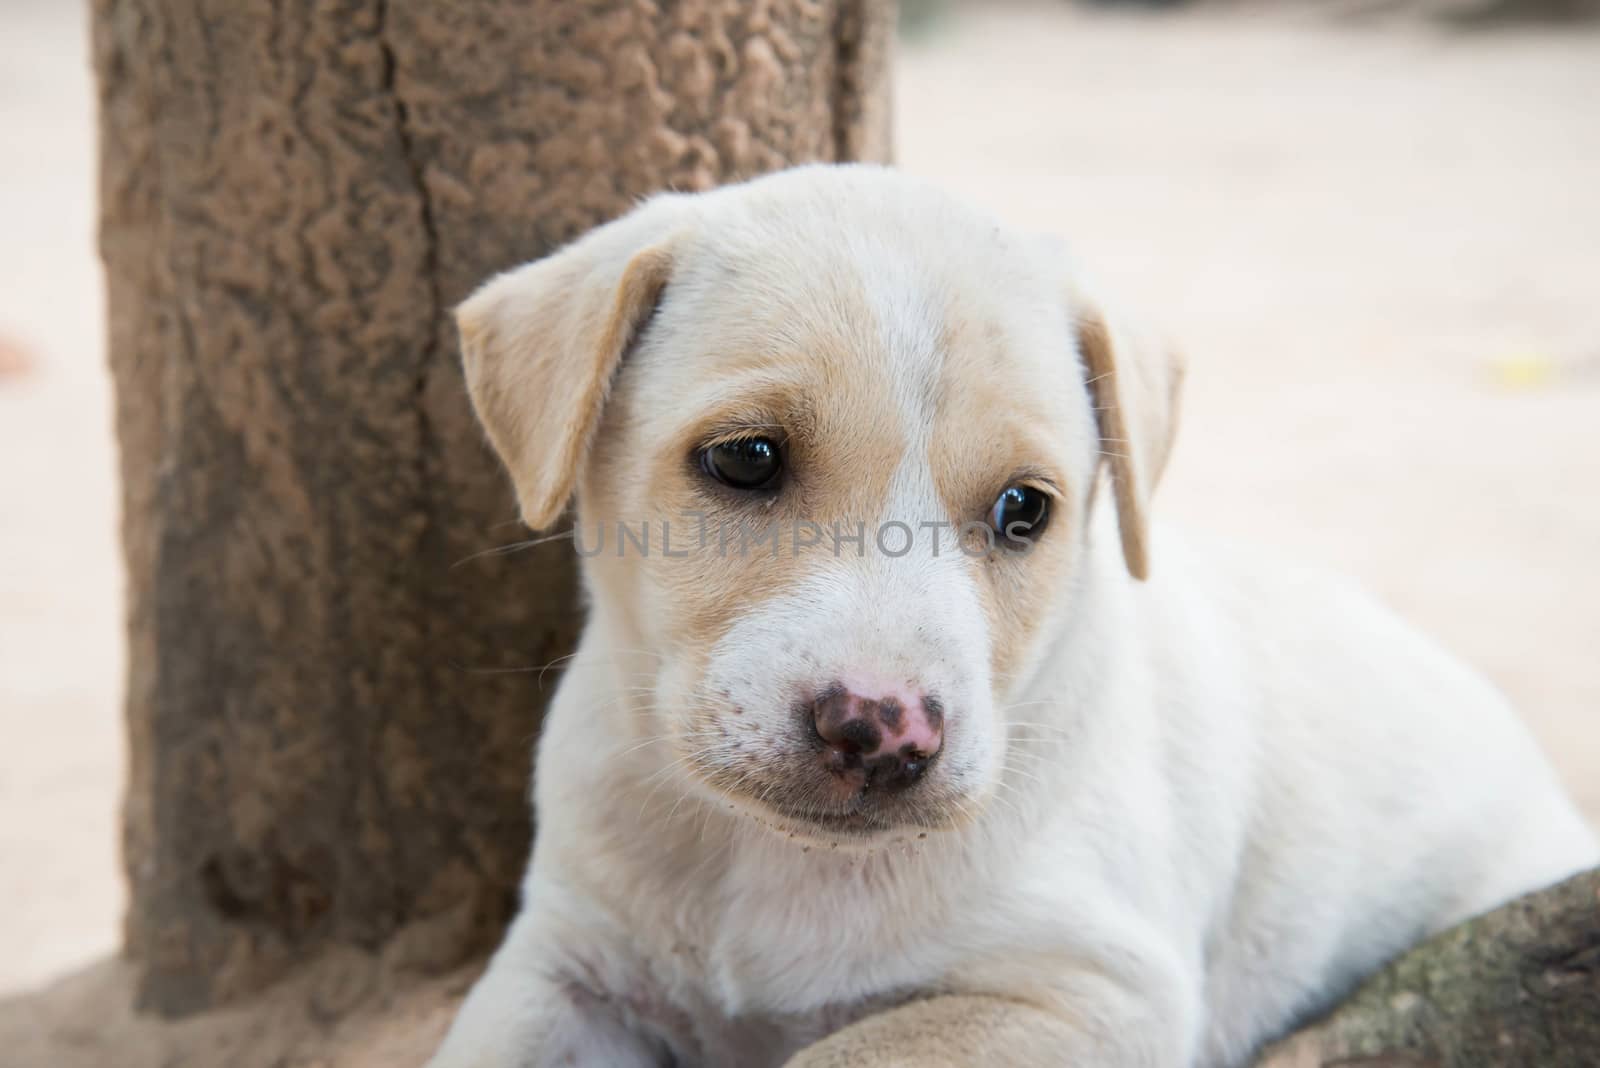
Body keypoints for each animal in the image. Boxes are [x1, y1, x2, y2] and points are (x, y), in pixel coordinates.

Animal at [428, 167, 1600, 1068]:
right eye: (746, 458)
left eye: (1024, 509)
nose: (885, 731)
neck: (768, 862)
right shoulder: (562, 963)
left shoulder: (1087, 994)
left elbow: (844, 1049)